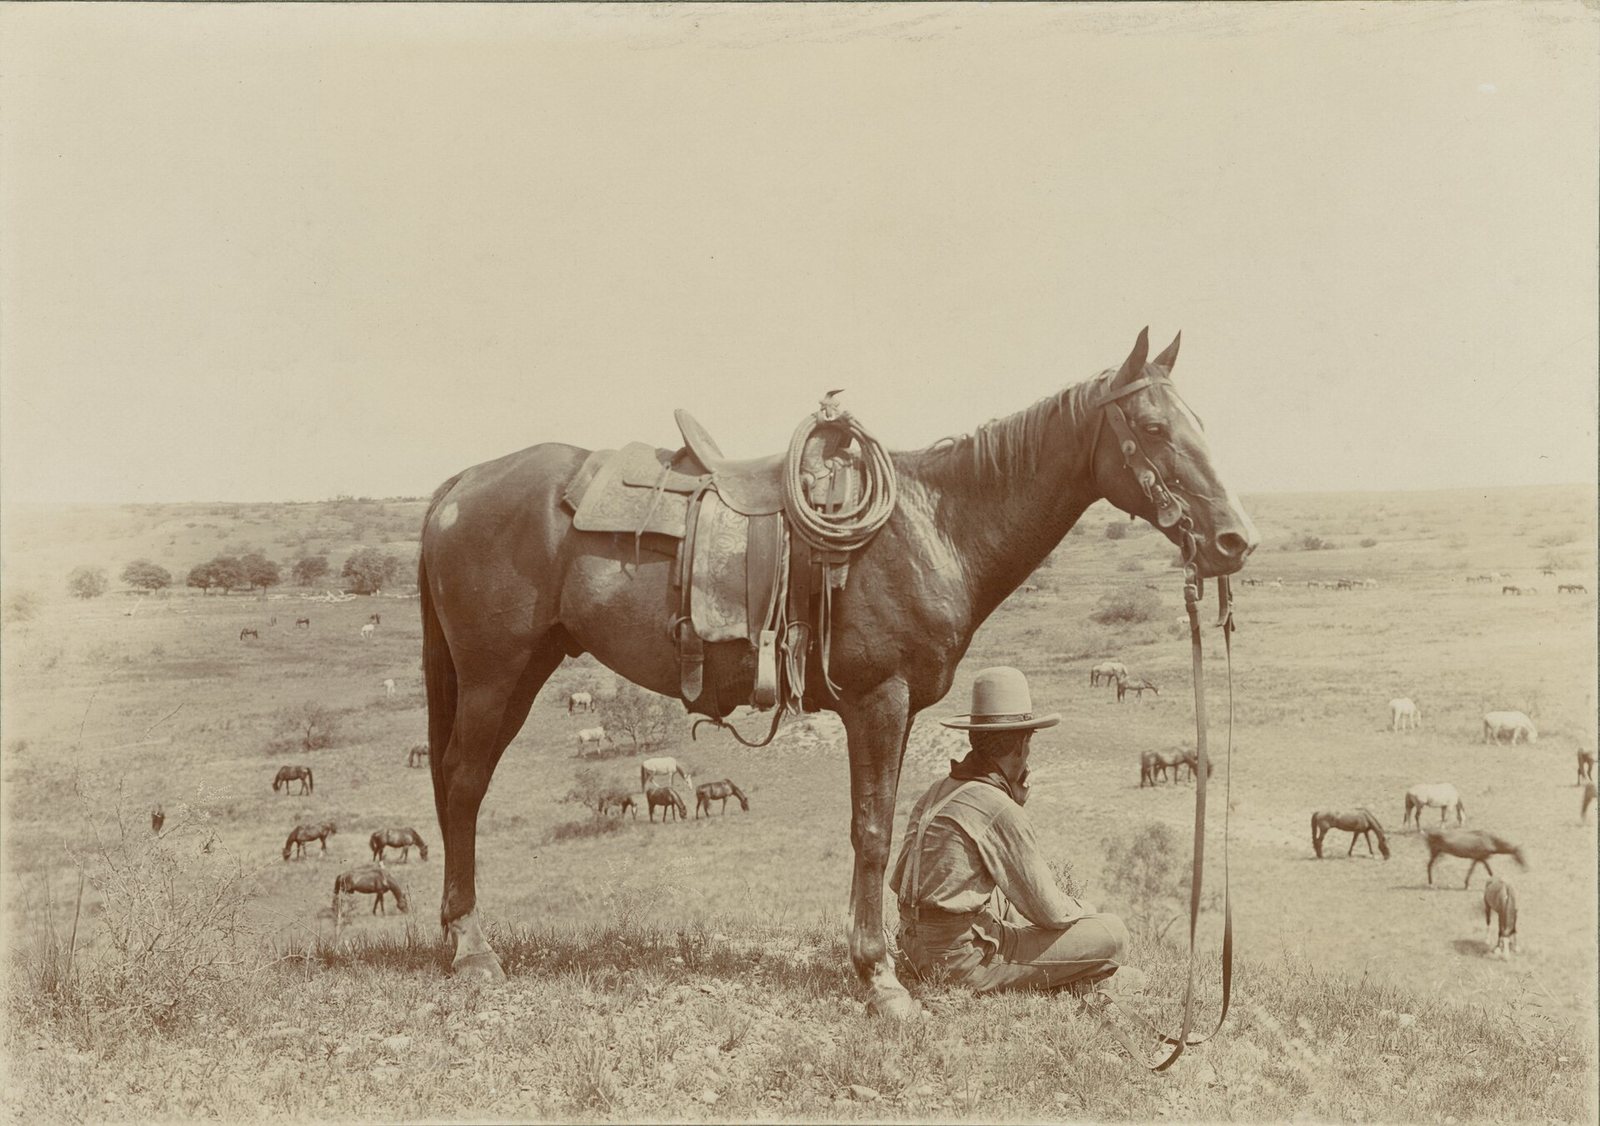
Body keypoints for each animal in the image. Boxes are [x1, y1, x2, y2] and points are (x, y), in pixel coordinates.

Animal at [417, 327, 1257, 1013]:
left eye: (1201, 424)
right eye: (1153, 427)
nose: (1233, 540)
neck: (934, 525)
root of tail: (458, 486)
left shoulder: (901, 706)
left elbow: (885, 826)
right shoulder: (877, 701)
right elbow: (873, 832)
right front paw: (879, 978)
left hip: (523, 671)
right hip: (495, 675)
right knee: (462, 785)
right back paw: (472, 949)